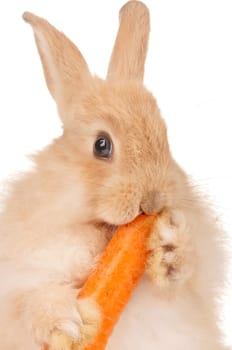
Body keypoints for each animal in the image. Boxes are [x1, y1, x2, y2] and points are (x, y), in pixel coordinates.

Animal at [0, 0, 229, 350]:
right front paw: (66, 324)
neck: (103, 232)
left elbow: (191, 270)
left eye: (165, 138)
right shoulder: (17, 281)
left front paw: (169, 247)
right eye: (101, 145)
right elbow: (31, 300)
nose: (152, 200)